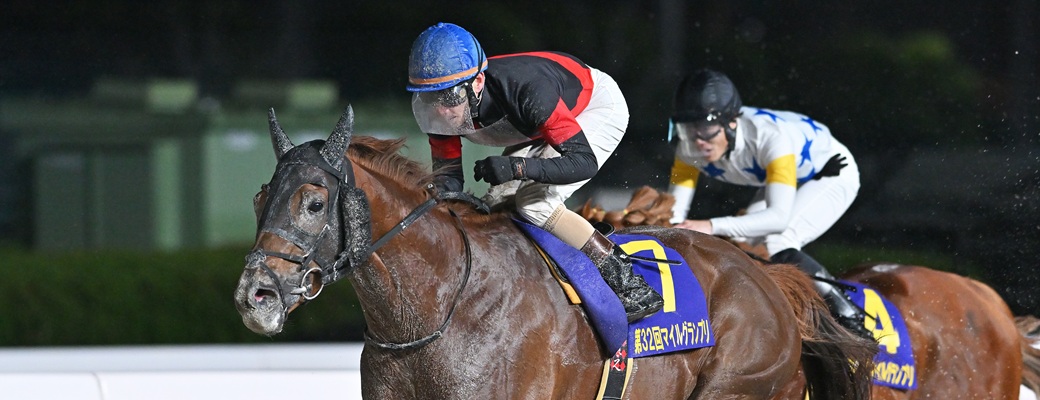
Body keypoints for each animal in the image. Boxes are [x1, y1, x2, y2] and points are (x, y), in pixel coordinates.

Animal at [234, 108, 876, 399]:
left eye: (314, 201)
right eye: (260, 197)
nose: (254, 295)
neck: (437, 309)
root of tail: (768, 279)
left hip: (740, 385)